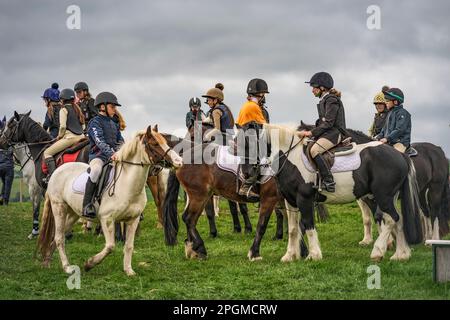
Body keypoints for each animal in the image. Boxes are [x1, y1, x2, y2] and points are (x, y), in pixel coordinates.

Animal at [35, 125, 183, 276]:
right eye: (154, 144)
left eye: (165, 142)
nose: (179, 162)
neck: (127, 183)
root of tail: (56, 171)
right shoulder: (107, 219)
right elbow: (110, 246)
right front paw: (89, 264)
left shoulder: (133, 220)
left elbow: (129, 246)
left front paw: (128, 270)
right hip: (59, 208)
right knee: (59, 238)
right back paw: (67, 267)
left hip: (72, 214)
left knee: (59, 235)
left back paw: (47, 261)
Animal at [262, 124, 424, 262]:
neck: (291, 157)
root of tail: (399, 154)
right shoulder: (290, 200)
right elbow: (293, 229)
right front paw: (289, 256)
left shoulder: (304, 198)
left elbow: (308, 225)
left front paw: (314, 255)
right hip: (390, 197)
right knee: (399, 220)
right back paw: (401, 255)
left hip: (383, 196)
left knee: (391, 219)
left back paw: (378, 252)